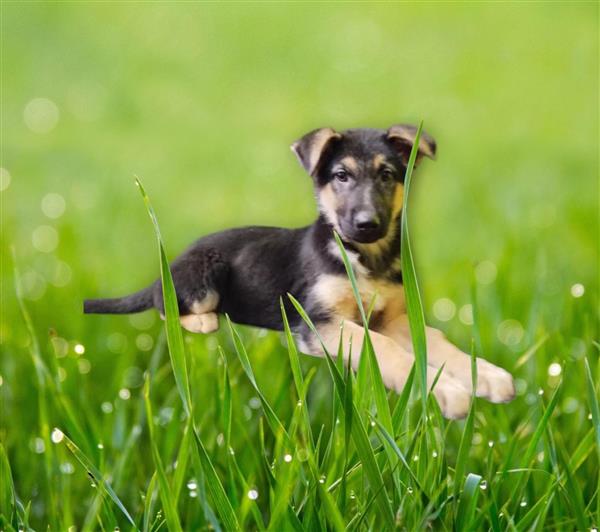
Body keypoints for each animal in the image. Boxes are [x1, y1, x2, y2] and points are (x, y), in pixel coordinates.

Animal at [85, 125, 516, 420]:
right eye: (341, 176)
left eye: (387, 175)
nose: (367, 224)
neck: (364, 260)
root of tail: (165, 269)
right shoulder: (322, 325)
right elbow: (386, 350)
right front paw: (444, 391)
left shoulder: (392, 318)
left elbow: (436, 341)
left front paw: (486, 375)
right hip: (206, 271)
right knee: (166, 305)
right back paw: (204, 321)